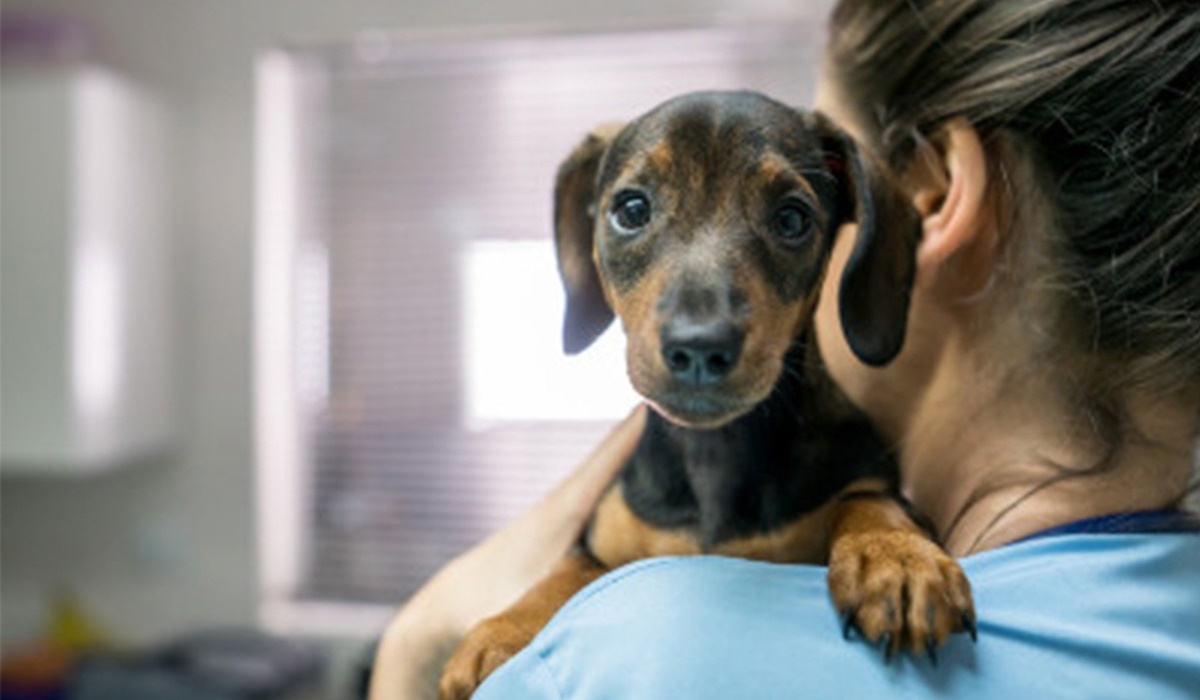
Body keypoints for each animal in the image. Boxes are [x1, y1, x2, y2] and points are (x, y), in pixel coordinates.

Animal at [441, 90, 974, 696]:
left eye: (792, 219)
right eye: (631, 209)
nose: (699, 347)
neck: (714, 458)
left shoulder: (865, 476)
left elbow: (870, 499)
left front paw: (898, 559)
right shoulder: (599, 536)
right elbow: (567, 570)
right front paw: (502, 629)